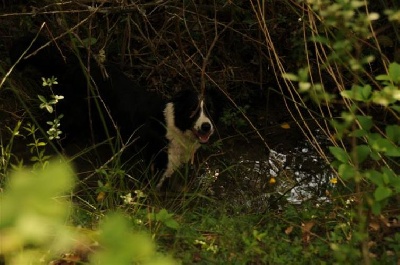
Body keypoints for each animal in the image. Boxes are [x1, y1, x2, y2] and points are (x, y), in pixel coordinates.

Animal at [9, 35, 217, 188]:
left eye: (210, 110)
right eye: (193, 110)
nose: (206, 127)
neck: (173, 125)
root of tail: (68, 65)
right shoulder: (154, 161)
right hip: (67, 120)